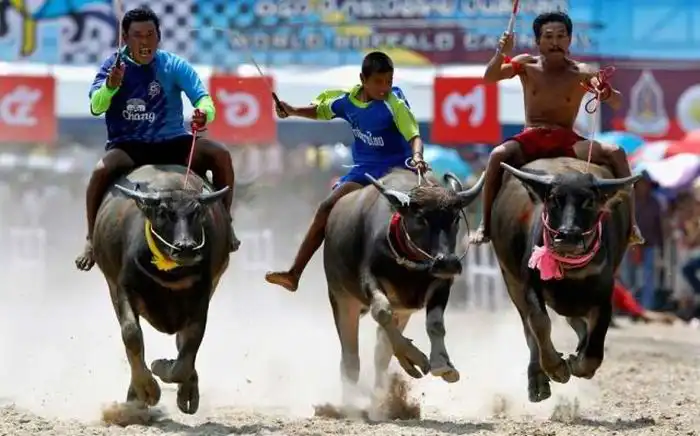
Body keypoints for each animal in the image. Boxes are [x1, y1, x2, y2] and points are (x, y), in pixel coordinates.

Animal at [91, 164, 231, 414]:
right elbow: (131, 334)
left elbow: (188, 351)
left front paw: (167, 370)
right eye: (164, 213)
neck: (171, 275)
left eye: (197, 212)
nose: (186, 247)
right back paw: (134, 397)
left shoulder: (201, 298)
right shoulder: (123, 288)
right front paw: (147, 389)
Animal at [323, 168, 485, 398]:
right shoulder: (369, 279)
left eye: (455, 218)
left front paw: (442, 364)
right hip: (341, 298)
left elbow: (435, 325)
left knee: (381, 351)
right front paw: (414, 357)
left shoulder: (441, 283)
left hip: (403, 311)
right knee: (350, 358)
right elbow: (382, 311)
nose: (448, 262)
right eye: (421, 218)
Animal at [490, 157, 641, 403]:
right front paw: (556, 368)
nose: (568, 235)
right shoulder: (529, 286)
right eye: (554, 199)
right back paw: (538, 381)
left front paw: (579, 364)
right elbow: (540, 323)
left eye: (589, 201)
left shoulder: (604, 296)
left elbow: (595, 343)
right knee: (529, 328)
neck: (572, 271)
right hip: (510, 280)